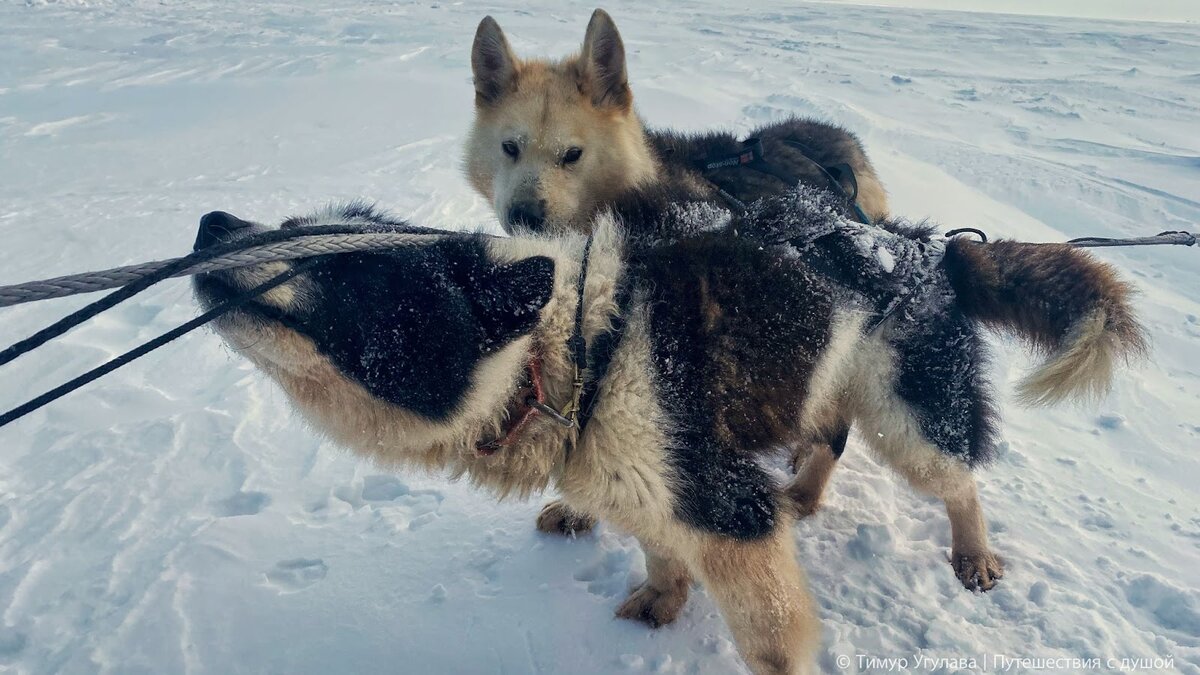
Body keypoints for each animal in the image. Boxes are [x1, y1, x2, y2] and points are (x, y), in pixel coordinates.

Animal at [189, 182, 1142, 667]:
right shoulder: (637, 481)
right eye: (291, 224)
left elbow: (770, 635)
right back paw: (804, 491)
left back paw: (973, 551)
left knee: (957, 478)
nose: (211, 221)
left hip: (909, 423)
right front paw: (664, 590)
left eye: (341, 266)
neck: (574, 350)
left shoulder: (727, 509)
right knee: (827, 439)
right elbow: (656, 542)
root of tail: (924, 244)